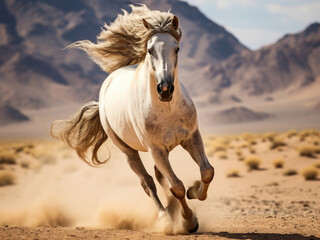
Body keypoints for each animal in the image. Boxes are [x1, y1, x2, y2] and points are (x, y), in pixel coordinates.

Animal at [50, 4, 215, 233]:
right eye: (150, 50)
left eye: (177, 49)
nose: (165, 89)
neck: (167, 110)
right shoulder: (156, 149)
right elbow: (177, 187)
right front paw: (189, 221)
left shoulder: (191, 138)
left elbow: (207, 172)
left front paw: (194, 191)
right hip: (129, 151)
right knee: (148, 182)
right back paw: (165, 218)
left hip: (163, 150)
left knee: (159, 177)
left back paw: (171, 209)